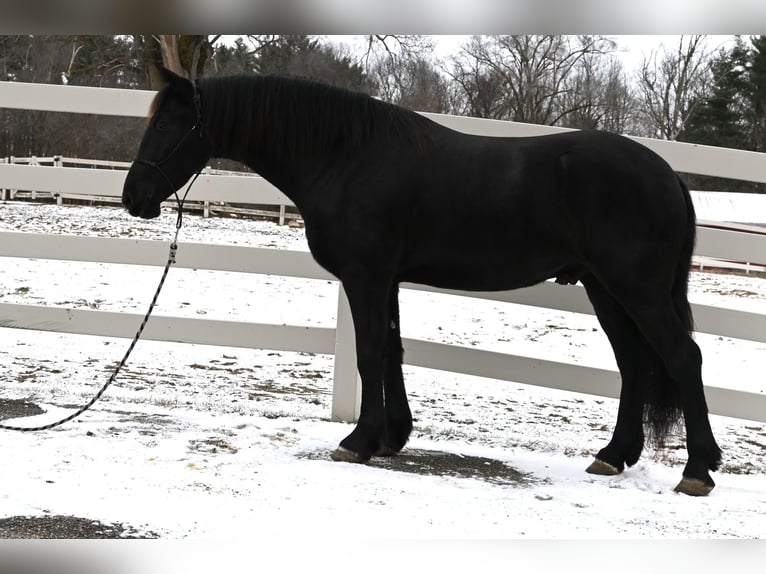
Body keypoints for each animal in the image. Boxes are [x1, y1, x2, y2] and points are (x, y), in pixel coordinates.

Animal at [123, 67, 724, 498]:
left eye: (169, 125)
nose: (134, 198)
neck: (345, 155)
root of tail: (668, 175)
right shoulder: (386, 278)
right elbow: (391, 351)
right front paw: (392, 436)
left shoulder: (365, 276)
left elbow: (369, 353)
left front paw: (358, 441)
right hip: (605, 289)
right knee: (635, 365)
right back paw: (613, 455)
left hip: (637, 290)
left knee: (681, 358)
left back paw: (697, 471)